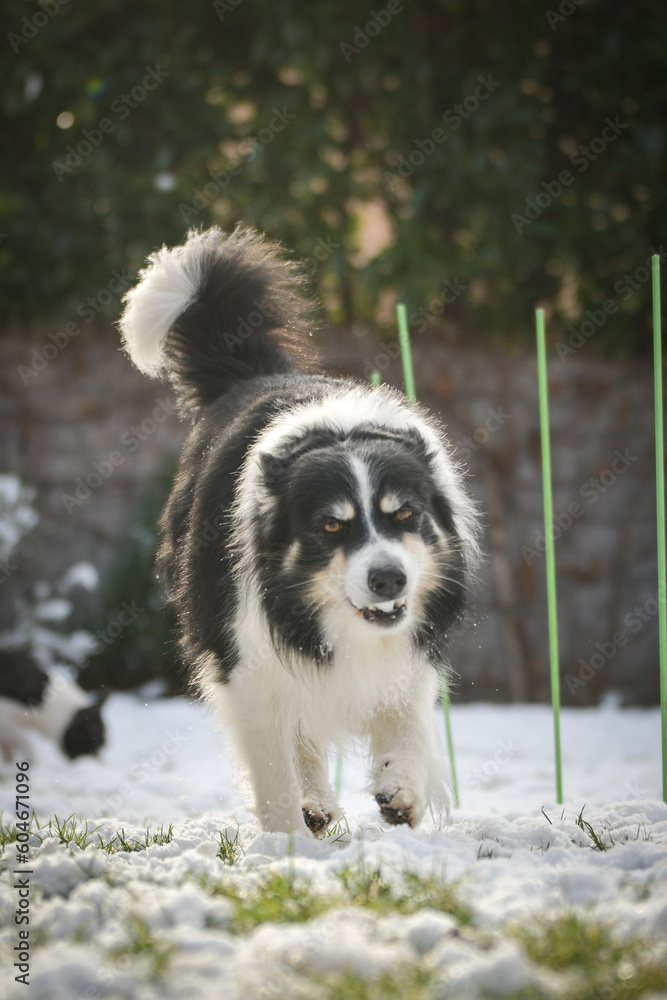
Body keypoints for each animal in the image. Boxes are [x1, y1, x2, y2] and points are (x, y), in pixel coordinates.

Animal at [117, 227, 478, 836]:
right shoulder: (248, 661)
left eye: (404, 515)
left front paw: (402, 791)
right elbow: (272, 759)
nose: (389, 581)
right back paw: (311, 807)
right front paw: (286, 841)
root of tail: (256, 372)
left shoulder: (411, 652)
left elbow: (409, 721)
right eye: (331, 525)